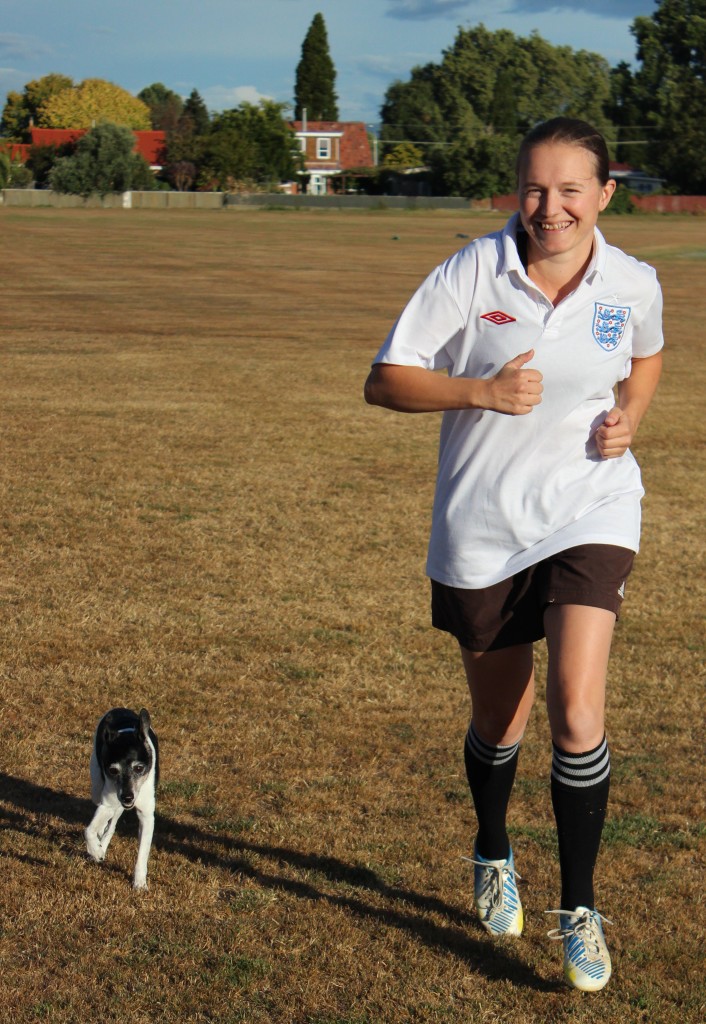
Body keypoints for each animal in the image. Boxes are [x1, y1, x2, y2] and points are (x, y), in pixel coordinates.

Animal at [84, 708, 158, 892]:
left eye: (139, 768)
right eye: (113, 770)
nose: (127, 796)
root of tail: (121, 709)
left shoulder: (146, 815)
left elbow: (142, 853)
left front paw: (139, 883)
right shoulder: (108, 803)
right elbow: (88, 830)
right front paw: (96, 851)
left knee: (111, 826)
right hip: (98, 790)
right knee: (105, 823)